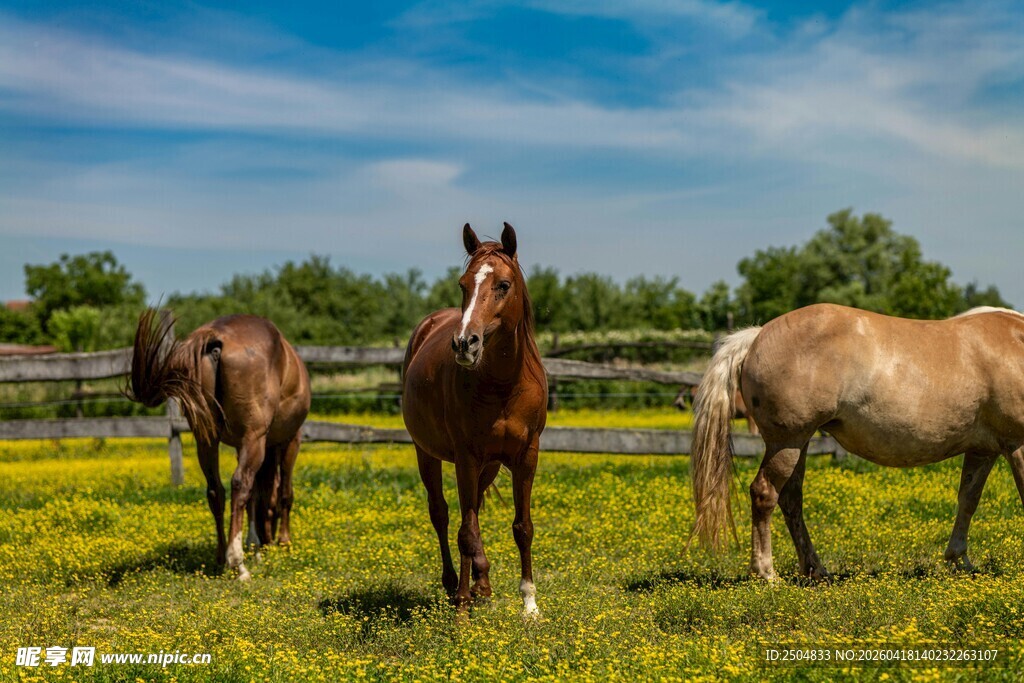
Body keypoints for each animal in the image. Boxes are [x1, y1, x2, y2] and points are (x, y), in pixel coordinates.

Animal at [128, 311, 311, 580]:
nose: (269, 539)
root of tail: (214, 338)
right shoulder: (289, 440)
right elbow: (283, 493)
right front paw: (282, 542)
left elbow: (257, 495)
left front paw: (257, 545)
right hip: (254, 438)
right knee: (240, 484)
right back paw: (237, 563)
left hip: (207, 441)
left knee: (216, 491)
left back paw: (221, 557)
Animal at [402, 223, 547, 616]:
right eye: (463, 284)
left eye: (503, 285)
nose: (465, 343)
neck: (503, 384)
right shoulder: (465, 457)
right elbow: (465, 531)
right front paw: (462, 609)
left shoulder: (526, 456)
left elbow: (523, 527)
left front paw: (530, 606)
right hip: (427, 454)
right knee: (442, 514)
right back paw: (455, 583)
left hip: (490, 465)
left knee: (475, 510)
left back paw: (482, 581)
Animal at [690, 303, 1024, 580]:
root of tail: (757, 335)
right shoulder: (1016, 445)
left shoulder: (983, 450)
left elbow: (968, 500)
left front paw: (959, 560)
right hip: (787, 441)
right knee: (764, 494)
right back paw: (766, 573)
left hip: (798, 443)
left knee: (791, 500)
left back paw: (815, 570)